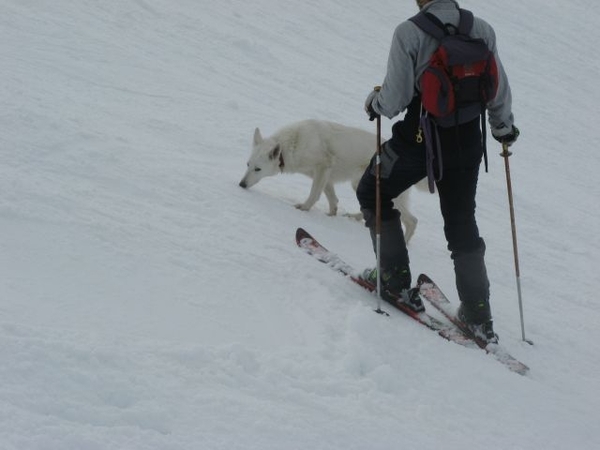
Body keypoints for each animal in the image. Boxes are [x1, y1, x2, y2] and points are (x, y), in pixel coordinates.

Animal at [239, 118, 422, 241]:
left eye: (257, 169)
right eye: (247, 164)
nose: (241, 184)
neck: (293, 144)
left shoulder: (322, 168)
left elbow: (314, 195)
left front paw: (303, 208)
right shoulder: (325, 176)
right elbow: (332, 199)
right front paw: (331, 215)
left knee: (412, 221)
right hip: (359, 185)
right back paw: (355, 217)